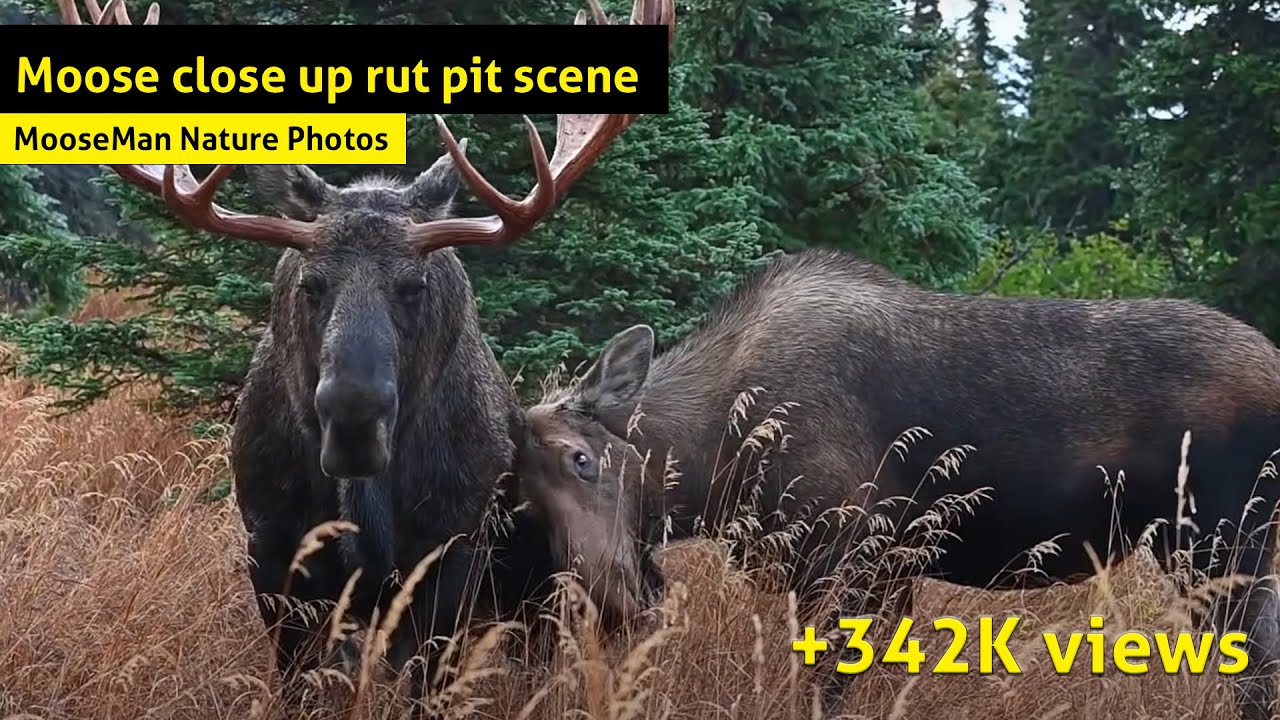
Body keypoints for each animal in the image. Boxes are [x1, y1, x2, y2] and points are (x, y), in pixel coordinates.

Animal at [510, 247, 1280, 720]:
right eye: (523, 502)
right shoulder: (885, 571)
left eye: (580, 458)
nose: (615, 598)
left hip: (1222, 541)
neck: (715, 454)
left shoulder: (847, 559)